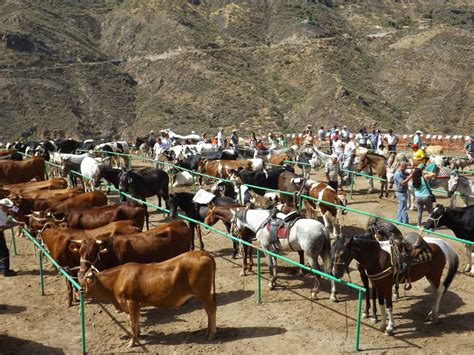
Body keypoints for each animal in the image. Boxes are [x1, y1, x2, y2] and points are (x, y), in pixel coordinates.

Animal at [79, 250, 217, 348]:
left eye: (83, 281)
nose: (77, 293)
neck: (117, 279)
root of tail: (202, 253)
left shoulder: (132, 301)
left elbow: (132, 322)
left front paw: (132, 342)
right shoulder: (135, 304)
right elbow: (136, 320)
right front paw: (138, 335)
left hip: (203, 293)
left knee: (211, 310)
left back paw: (211, 334)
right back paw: (207, 331)